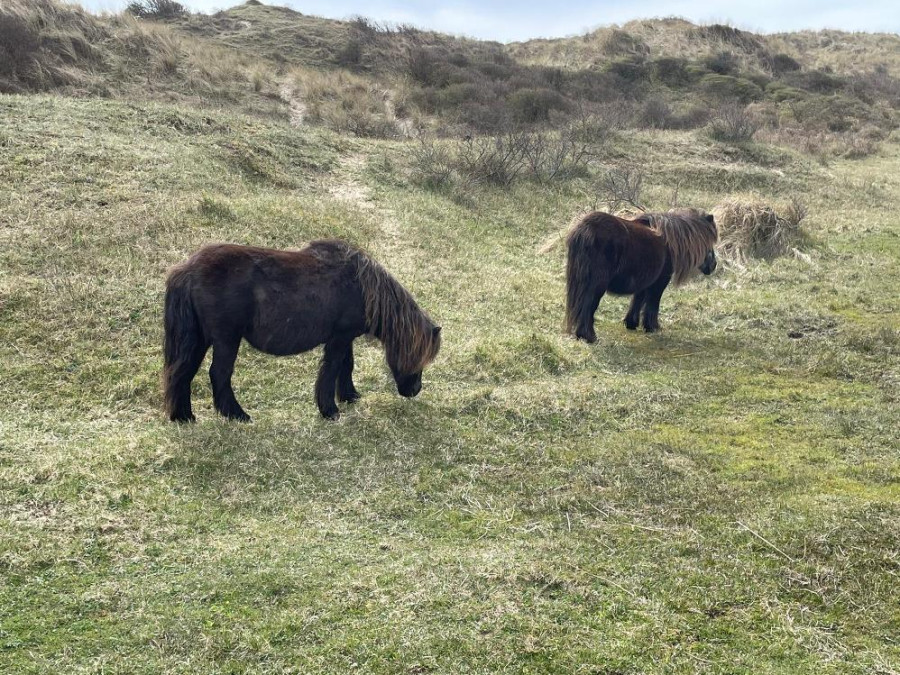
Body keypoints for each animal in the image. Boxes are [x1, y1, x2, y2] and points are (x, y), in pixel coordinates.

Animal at [165, 240, 442, 422]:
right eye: (419, 357)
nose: (415, 390)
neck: (362, 288)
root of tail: (187, 269)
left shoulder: (345, 338)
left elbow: (347, 366)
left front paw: (350, 396)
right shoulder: (339, 338)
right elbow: (332, 369)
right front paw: (330, 410)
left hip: (199, 339)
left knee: (182, 372)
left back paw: (184, 417)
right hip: (226, 339)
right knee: (218, 374)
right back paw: (237, 415)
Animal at [568, 207, 716, 344]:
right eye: (709, 243)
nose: (713, 265)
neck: (669, 241)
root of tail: (586, 230)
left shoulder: (645, 280)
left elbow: (638, 300)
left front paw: (631, 323)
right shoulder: (660, 281)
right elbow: (653, 303)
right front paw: (652, 327)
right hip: (596, 285)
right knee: (588, 307)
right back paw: (589, 337)